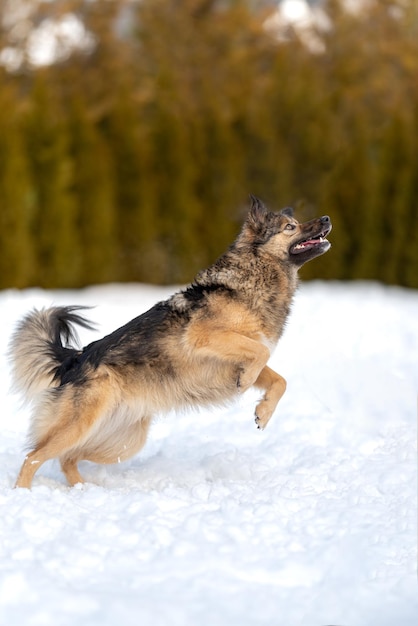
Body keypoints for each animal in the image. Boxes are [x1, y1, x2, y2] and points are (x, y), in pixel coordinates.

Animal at [8, 196, 332, 488]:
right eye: (290, 227)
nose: (327, 218)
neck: (253, 279)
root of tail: (74, 359)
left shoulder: (235, 357)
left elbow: (279, 379)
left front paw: (263, 413)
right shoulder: (204, 336)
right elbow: (261, 352)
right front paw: (248, 384)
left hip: (124, 441)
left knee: (67, 458)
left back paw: (85, 490)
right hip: (80, 426)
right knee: (33, 457)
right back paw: (25, 494)